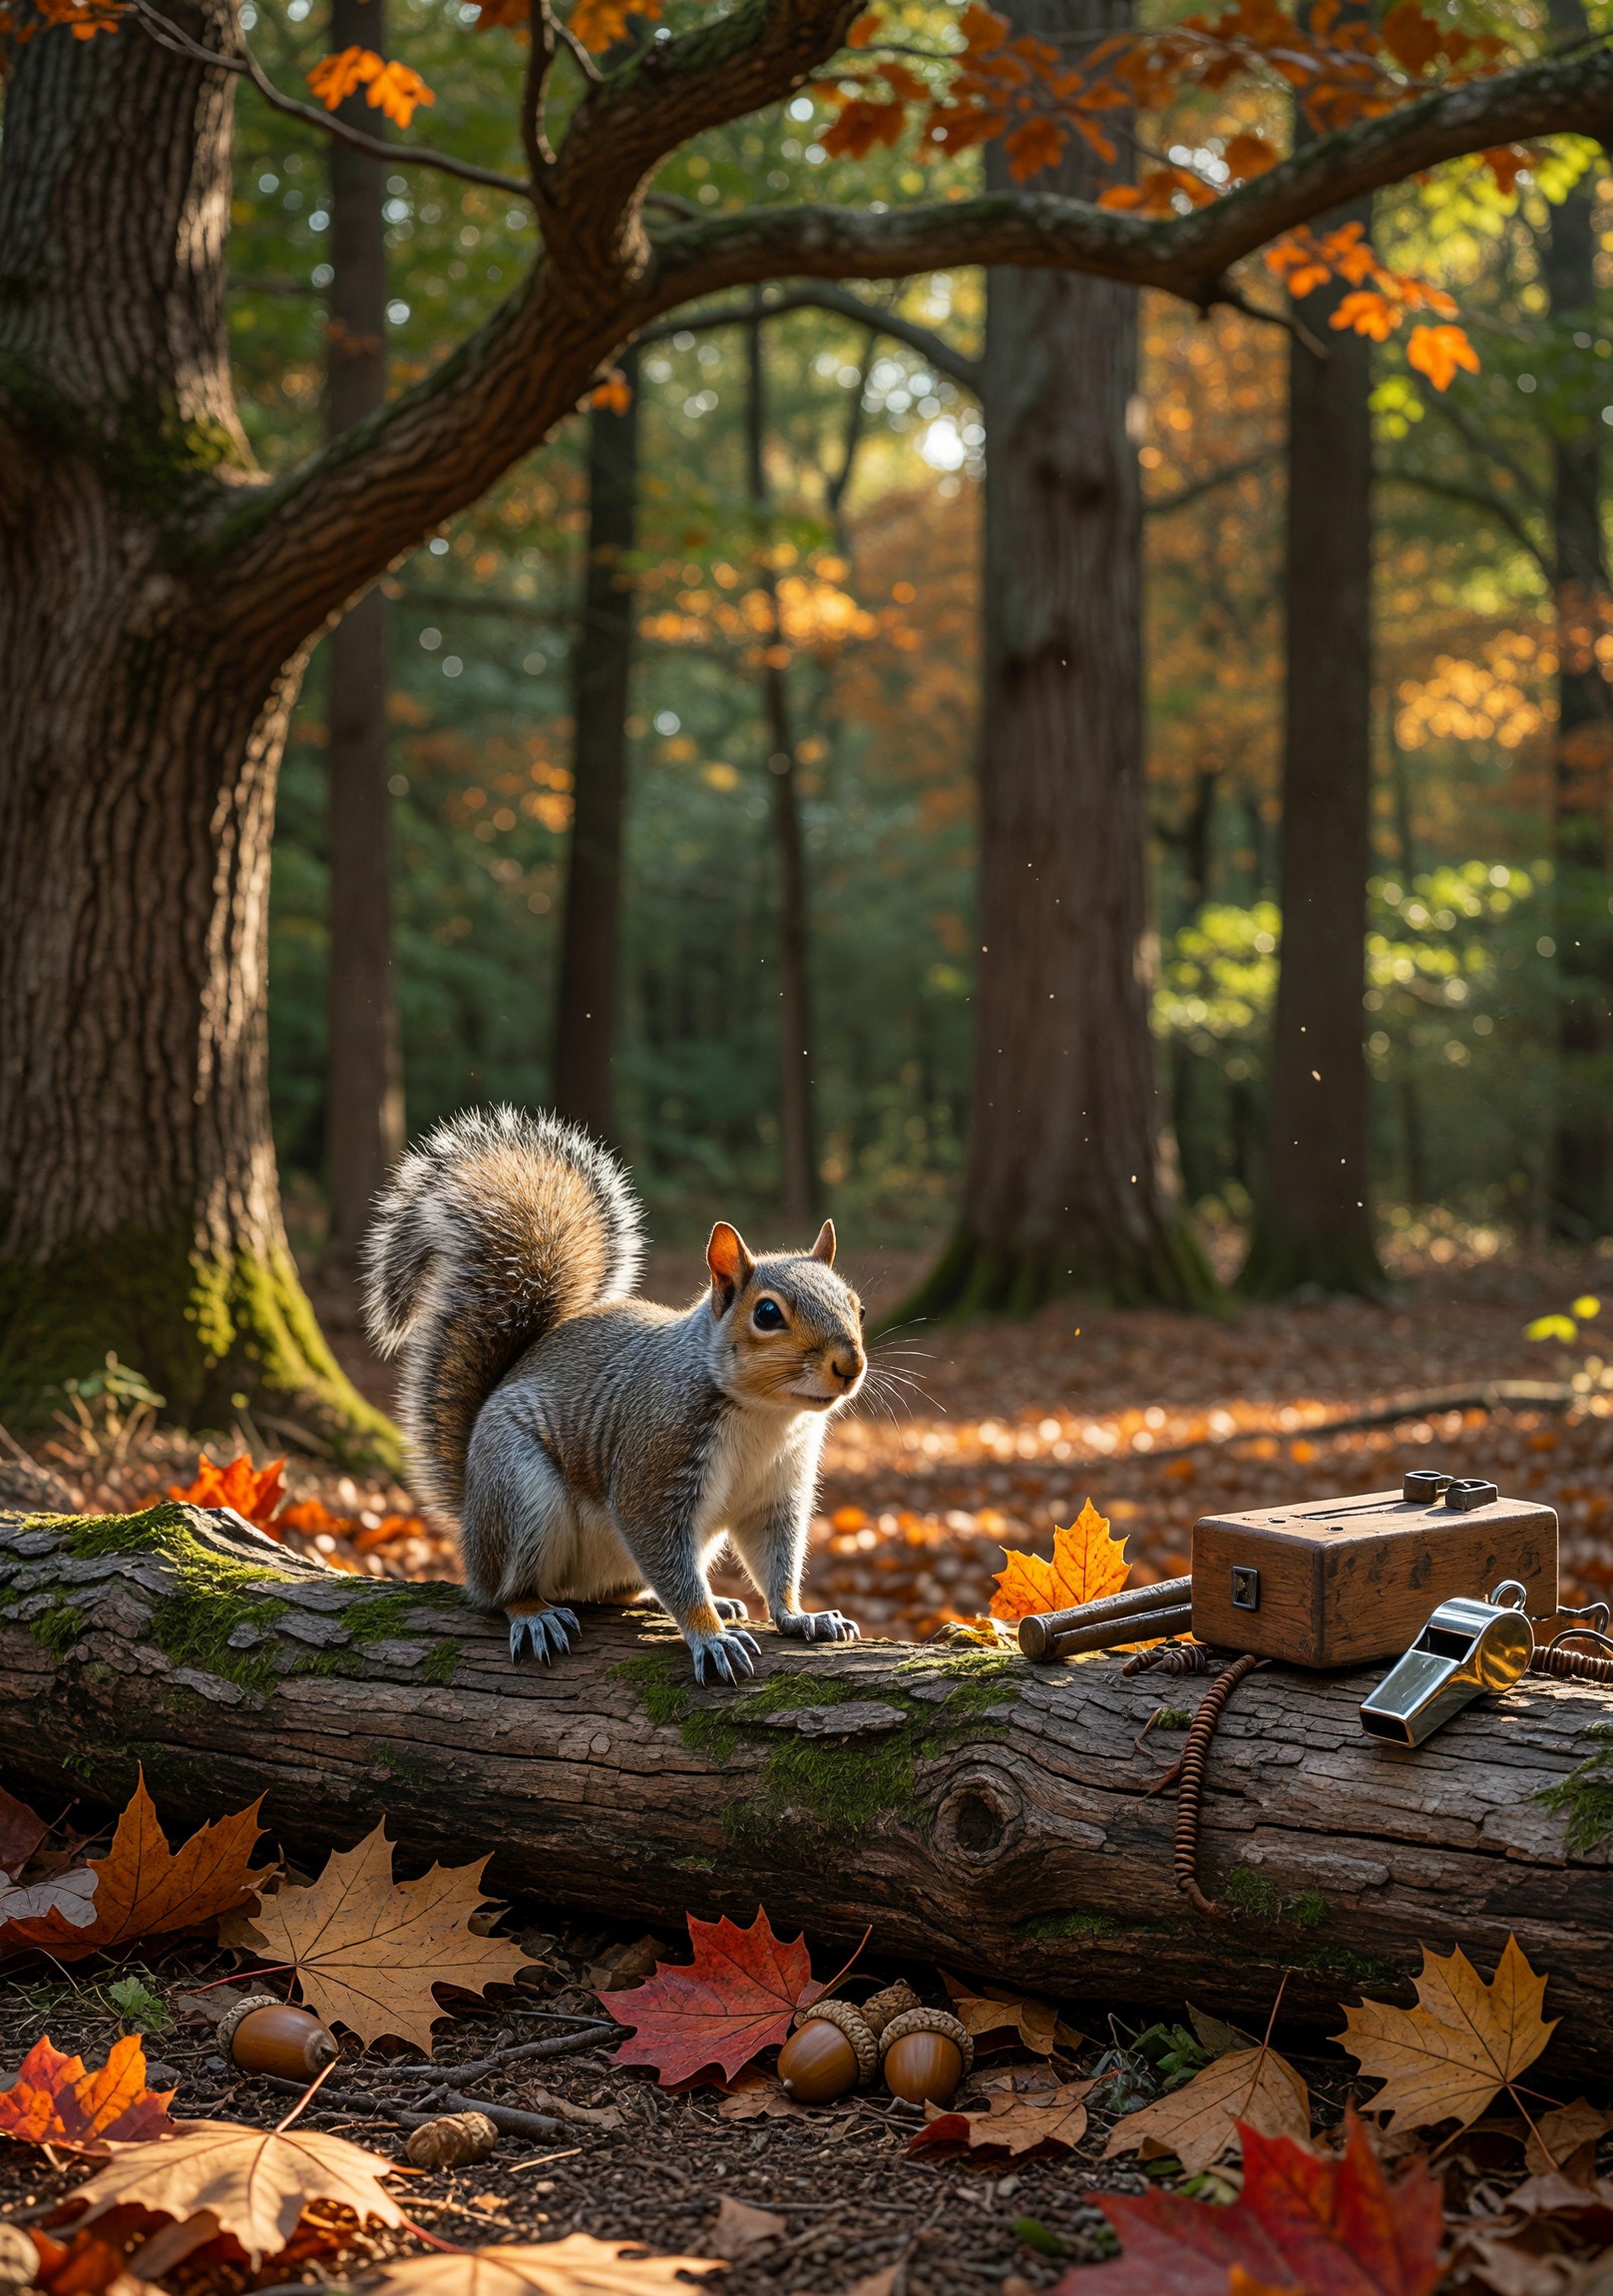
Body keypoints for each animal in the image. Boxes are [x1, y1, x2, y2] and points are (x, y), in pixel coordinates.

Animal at [361, 1106, 867, 1684]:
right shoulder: (655, 1461)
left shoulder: (776, 1493)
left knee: (613, 1592)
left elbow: (776, 1561)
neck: (766, 1416)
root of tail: (470, 1521)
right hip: (519, 1494)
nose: (850, 1365)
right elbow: (663, 1553)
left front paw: (801, 1616)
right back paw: (533, 1613)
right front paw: (710, 1636)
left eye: (857, 1305)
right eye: (766, 1314)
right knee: (503, 1591)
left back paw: (680, 1599)